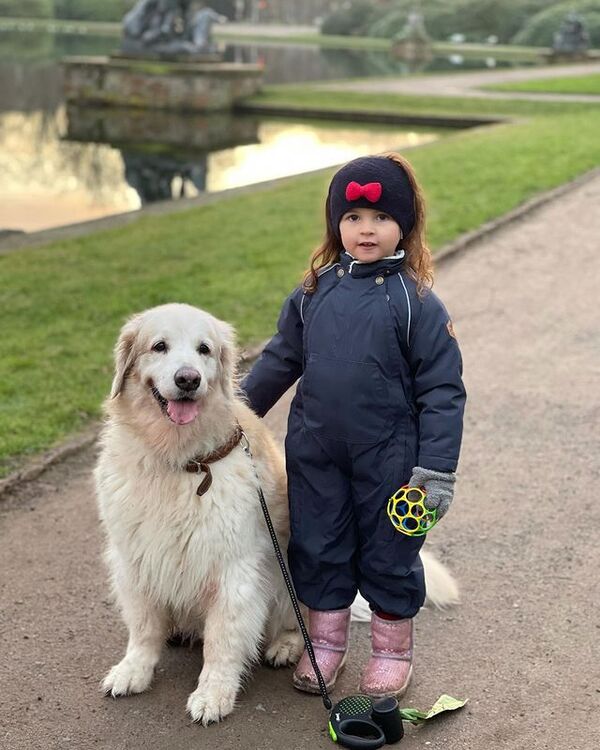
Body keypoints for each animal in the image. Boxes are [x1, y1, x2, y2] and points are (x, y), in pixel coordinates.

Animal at [95, 304, 460, 728]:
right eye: (159, 346)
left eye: (204, 349)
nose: (188, 379)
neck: (180, 460)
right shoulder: (133, 557)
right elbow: (143, 626)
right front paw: (133, 669)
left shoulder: (234, 568)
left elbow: (222, 640)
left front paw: (213, 693)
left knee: (307, 617)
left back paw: (289, 647)